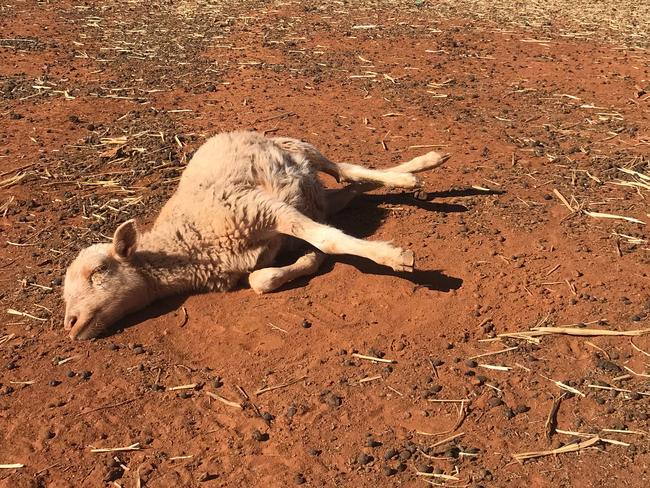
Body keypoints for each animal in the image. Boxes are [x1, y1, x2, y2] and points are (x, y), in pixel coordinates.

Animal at [62, 132, 446, 342]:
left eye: (99, 270)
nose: (71, 325)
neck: (187, 242)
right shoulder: (278, 227)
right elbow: (267, 277)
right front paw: (290, 269)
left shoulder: (261, 207)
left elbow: (328, 240)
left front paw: (396, 257)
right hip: (317, 194)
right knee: (351, 187)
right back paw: (414, 173)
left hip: (301, 148)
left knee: (346, 169)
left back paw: (422, 166)